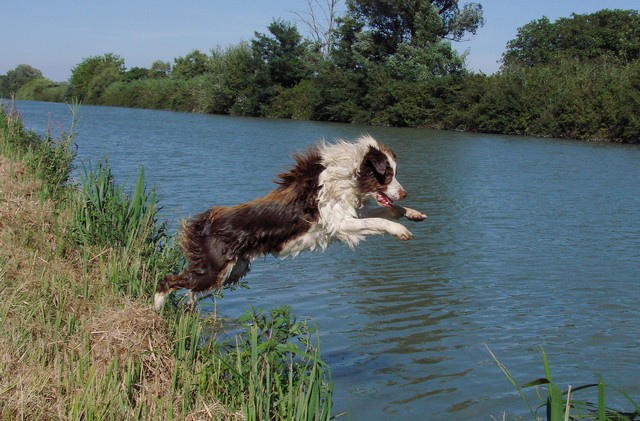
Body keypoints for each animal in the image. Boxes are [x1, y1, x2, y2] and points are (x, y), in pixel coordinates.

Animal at [154, 136, 424, 310]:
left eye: (394, 173)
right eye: (387, 174)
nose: (405, 193)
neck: (349, 174)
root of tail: (204, 222)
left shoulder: (348, 215)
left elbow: (384, 211)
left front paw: (411, 213)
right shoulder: (339, 223)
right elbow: (378, 219)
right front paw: (400, 230)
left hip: (231, 272)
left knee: (188, 289)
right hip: (213, 271)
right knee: (168, 279)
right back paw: (157, 308)